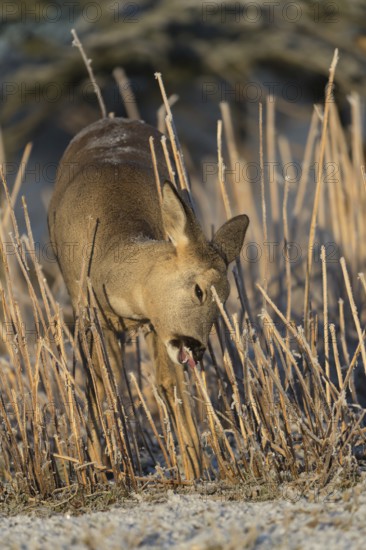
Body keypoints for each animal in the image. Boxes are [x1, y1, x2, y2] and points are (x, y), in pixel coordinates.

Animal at [48, 116, 249, 478]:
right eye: (199, 290)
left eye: (225, 300)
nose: (197, 348)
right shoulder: (88, 315)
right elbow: (102, 386)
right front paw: (110, 468)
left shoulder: (157, 324)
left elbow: (170, 386)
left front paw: (194, 471)